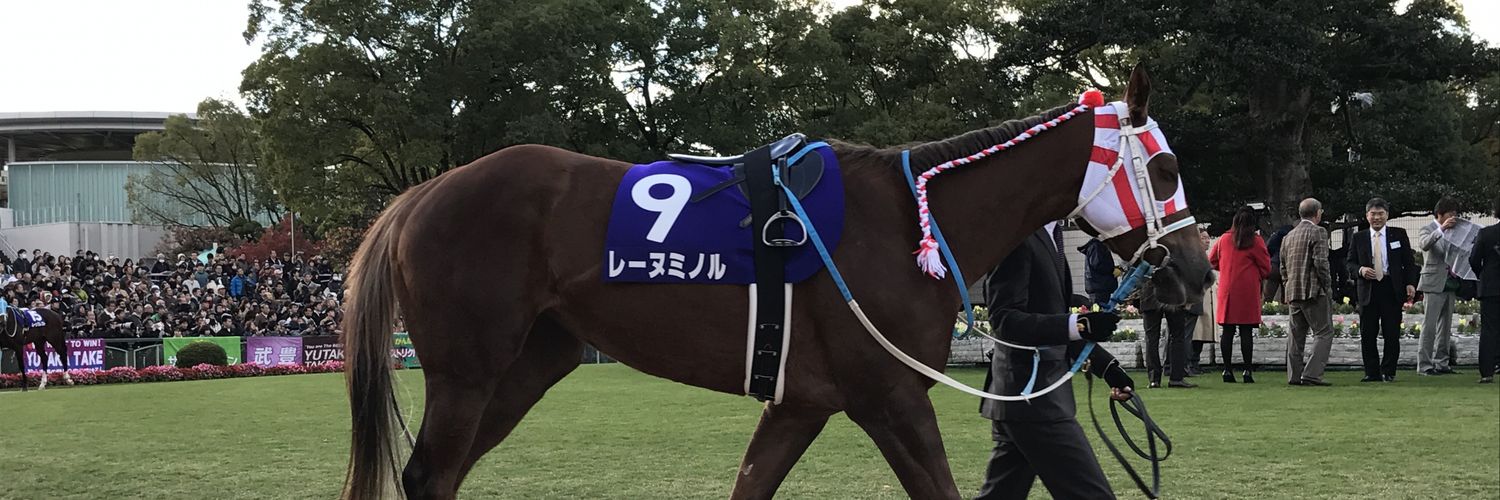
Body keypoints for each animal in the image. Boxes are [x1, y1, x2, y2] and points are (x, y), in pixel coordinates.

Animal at [340, 65, 1213, 499]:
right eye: (1168, 167)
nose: (1196, 270)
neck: (910, 219)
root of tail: (422, 193)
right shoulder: (890, 399)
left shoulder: (800, 403)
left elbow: (752, 482)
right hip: (469, 368)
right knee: (428, 475)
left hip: (531, 362)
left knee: (445, 474)